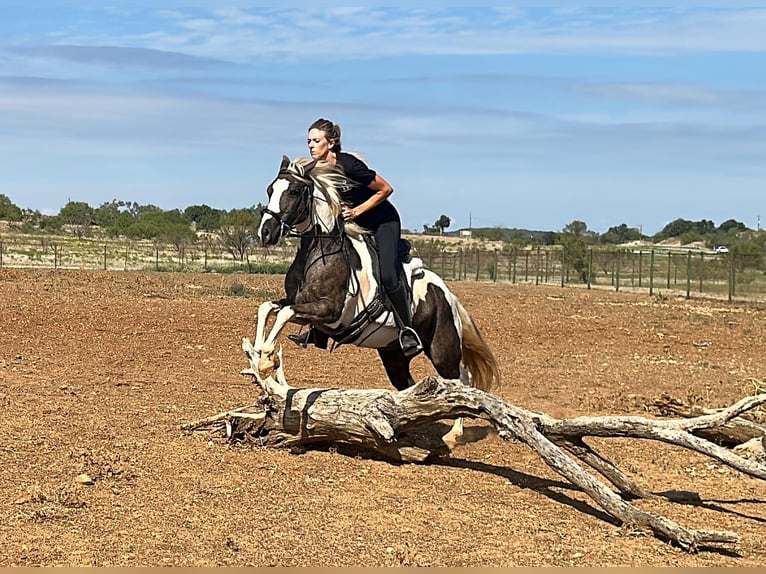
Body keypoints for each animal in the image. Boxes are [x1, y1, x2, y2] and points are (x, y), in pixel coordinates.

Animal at [255, 155, 500, 448]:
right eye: (270, 189)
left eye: (293, 191)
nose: (265, 233)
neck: (318, 250)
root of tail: (447, 294)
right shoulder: (302, 307)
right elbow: (268, 308)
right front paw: (259, 354)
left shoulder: (329, 312)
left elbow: (283, 314)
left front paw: (265, 360)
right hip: (394, 355)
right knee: (410, 386)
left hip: (442, 350)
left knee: (460, 381)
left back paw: (454, 434)